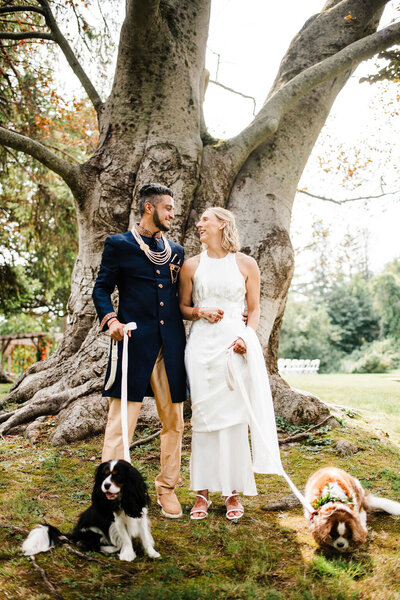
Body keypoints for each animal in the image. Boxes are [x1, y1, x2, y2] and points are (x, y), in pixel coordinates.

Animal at [21, 460, 159, 564]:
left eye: (117, 475)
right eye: (104, 475)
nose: (106, 485)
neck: (123, 499)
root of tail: (75, 533)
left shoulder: (141, 516)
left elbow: (145, 536)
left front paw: (152, 552)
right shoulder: (117, 522)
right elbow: (125, 538)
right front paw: (128, 554)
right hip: (93, 532)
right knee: (87, 544)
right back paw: (111, 548)